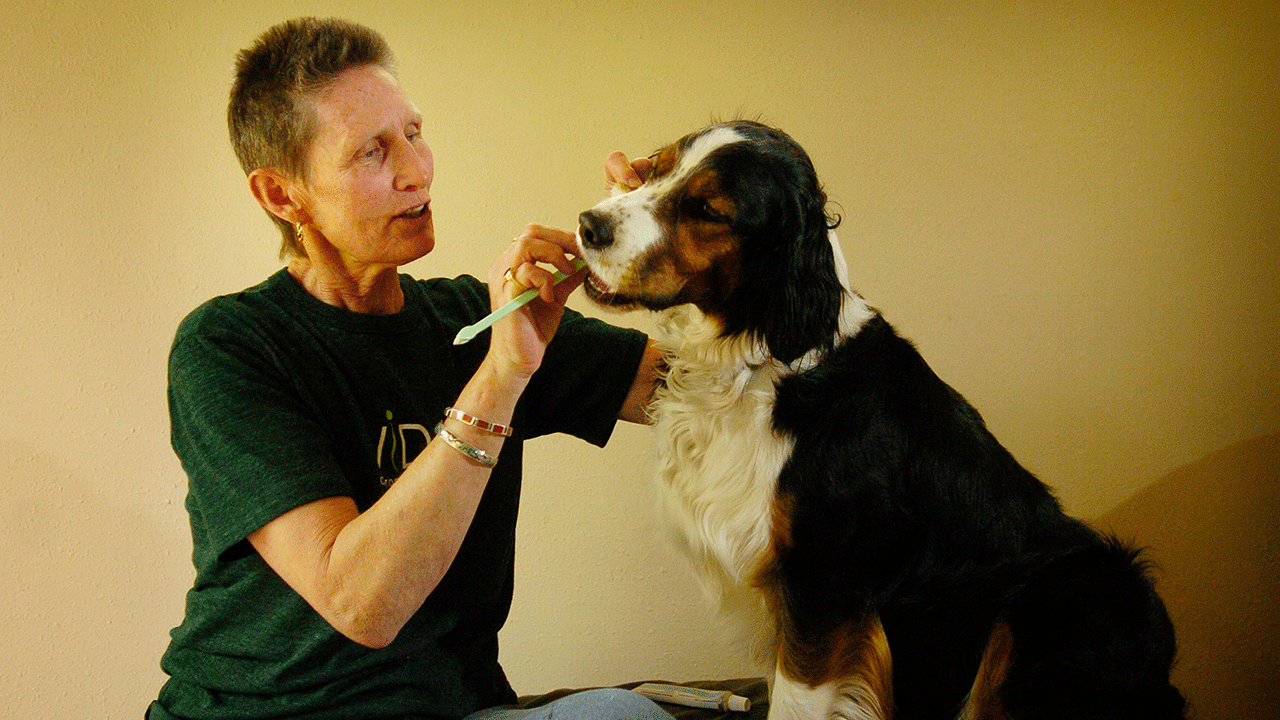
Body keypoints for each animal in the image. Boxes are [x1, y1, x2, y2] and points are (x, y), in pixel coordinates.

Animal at [576, 121, 1182, 717]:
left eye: (708, 210)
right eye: (653, 170)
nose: (588, 225)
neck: (757, 362)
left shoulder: (824, 579)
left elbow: (794, 700)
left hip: (1069, 595)